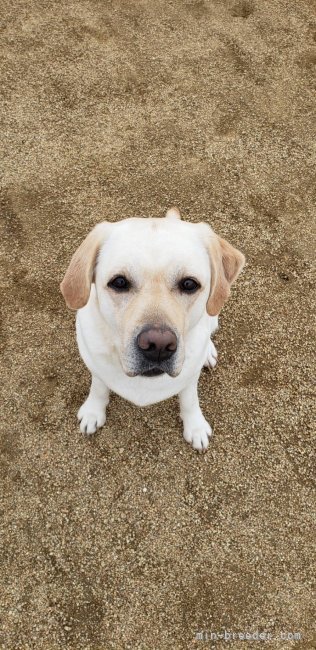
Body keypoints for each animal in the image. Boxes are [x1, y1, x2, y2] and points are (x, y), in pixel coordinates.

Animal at [61, 209, 244, 450]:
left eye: (189, 284)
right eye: (119, 282)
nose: (158, 345)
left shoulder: (190, 378)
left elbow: (189, 399)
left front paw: (195, 426)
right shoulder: (95, 364)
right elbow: (99, 387)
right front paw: (93, 411)